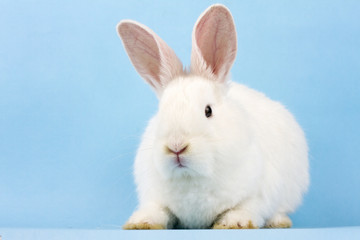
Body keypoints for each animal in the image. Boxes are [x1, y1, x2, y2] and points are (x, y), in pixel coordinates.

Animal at [116, 3, 308, 229]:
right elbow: (157, 210)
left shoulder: (260, 192)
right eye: (161, 111)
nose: (176, 146)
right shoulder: (155, 197)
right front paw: (141, 223)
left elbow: (247, 207)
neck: (191, 178)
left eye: (208, 111)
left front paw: (234, 223)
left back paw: (279, 222)